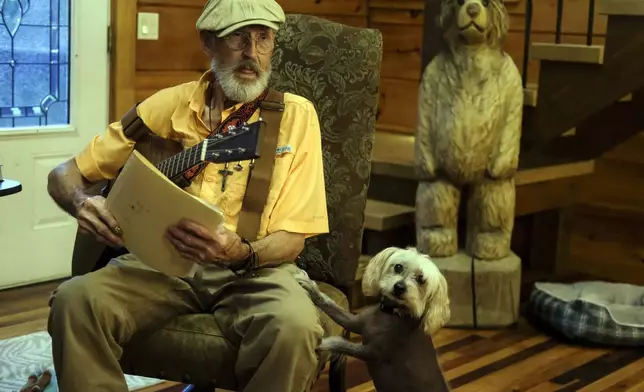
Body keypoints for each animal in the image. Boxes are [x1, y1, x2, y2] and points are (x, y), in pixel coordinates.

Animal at [294, 248, 450, 392]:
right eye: (398, 267)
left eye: (421, 280)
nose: (399, 287)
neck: (390, 313)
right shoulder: (353, 322)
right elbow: (330, 304)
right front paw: (312, 289)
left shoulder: (370, 352)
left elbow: (341, 343)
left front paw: (324, 343)